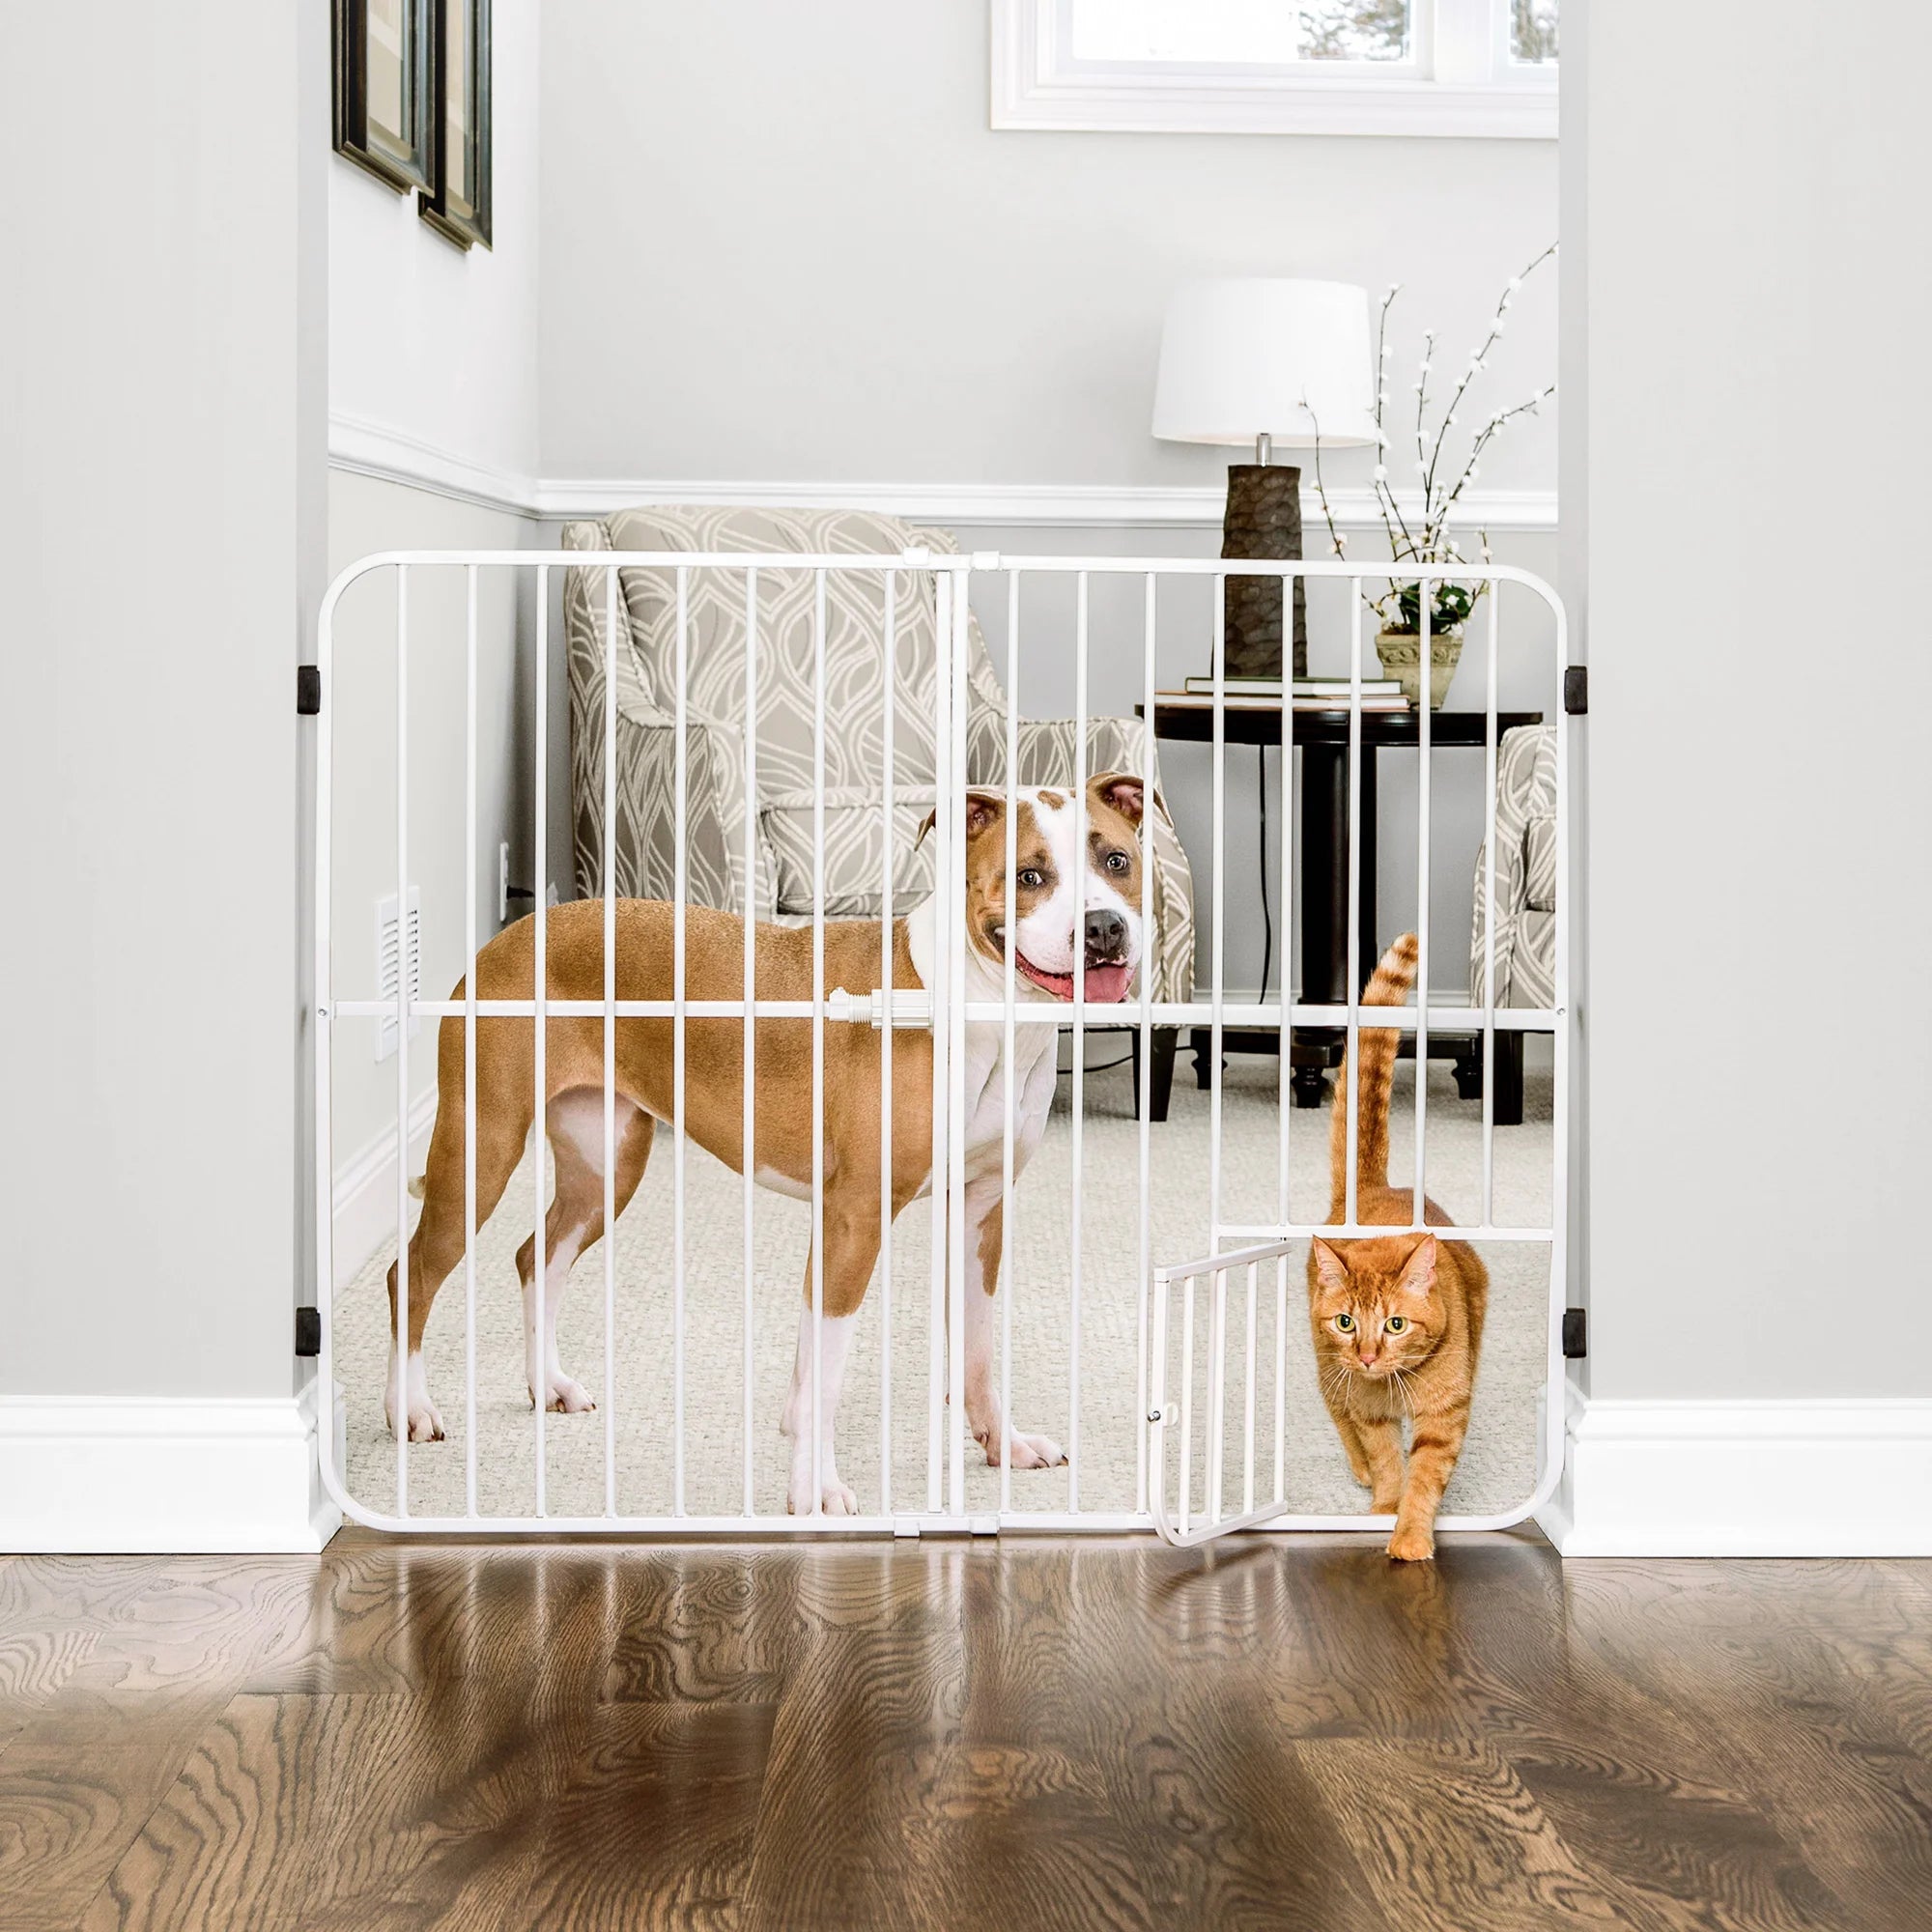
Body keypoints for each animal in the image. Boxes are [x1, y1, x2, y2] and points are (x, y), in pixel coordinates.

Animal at [388, 769, 1144, 1507]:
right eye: (1029, 876)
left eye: (1117, 861)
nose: (1104, 927)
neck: (978, 1007)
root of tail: (508, 938)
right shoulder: (855, 1217)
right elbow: (829, 1371)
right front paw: (817, 1489)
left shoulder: (980, 1213)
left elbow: (977, 1351)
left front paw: (1004, 1446)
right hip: (481, 1150)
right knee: (412, 1271)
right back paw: (410, 1410)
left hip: (604, 1169)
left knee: (538, 1255)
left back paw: (548, 1385)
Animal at [1306, 927, 1484, 1561]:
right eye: (1347, 1322)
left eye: (1396, 1324)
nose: (1366, 1356)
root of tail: (1373, 1188)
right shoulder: (1369, 1409)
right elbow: (1385, 1458)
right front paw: (1385, 1506)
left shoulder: (1444, 1414)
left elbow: (1425, 1476)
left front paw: (1409, 1535)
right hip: (1323, 1363)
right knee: (1334, 1403)